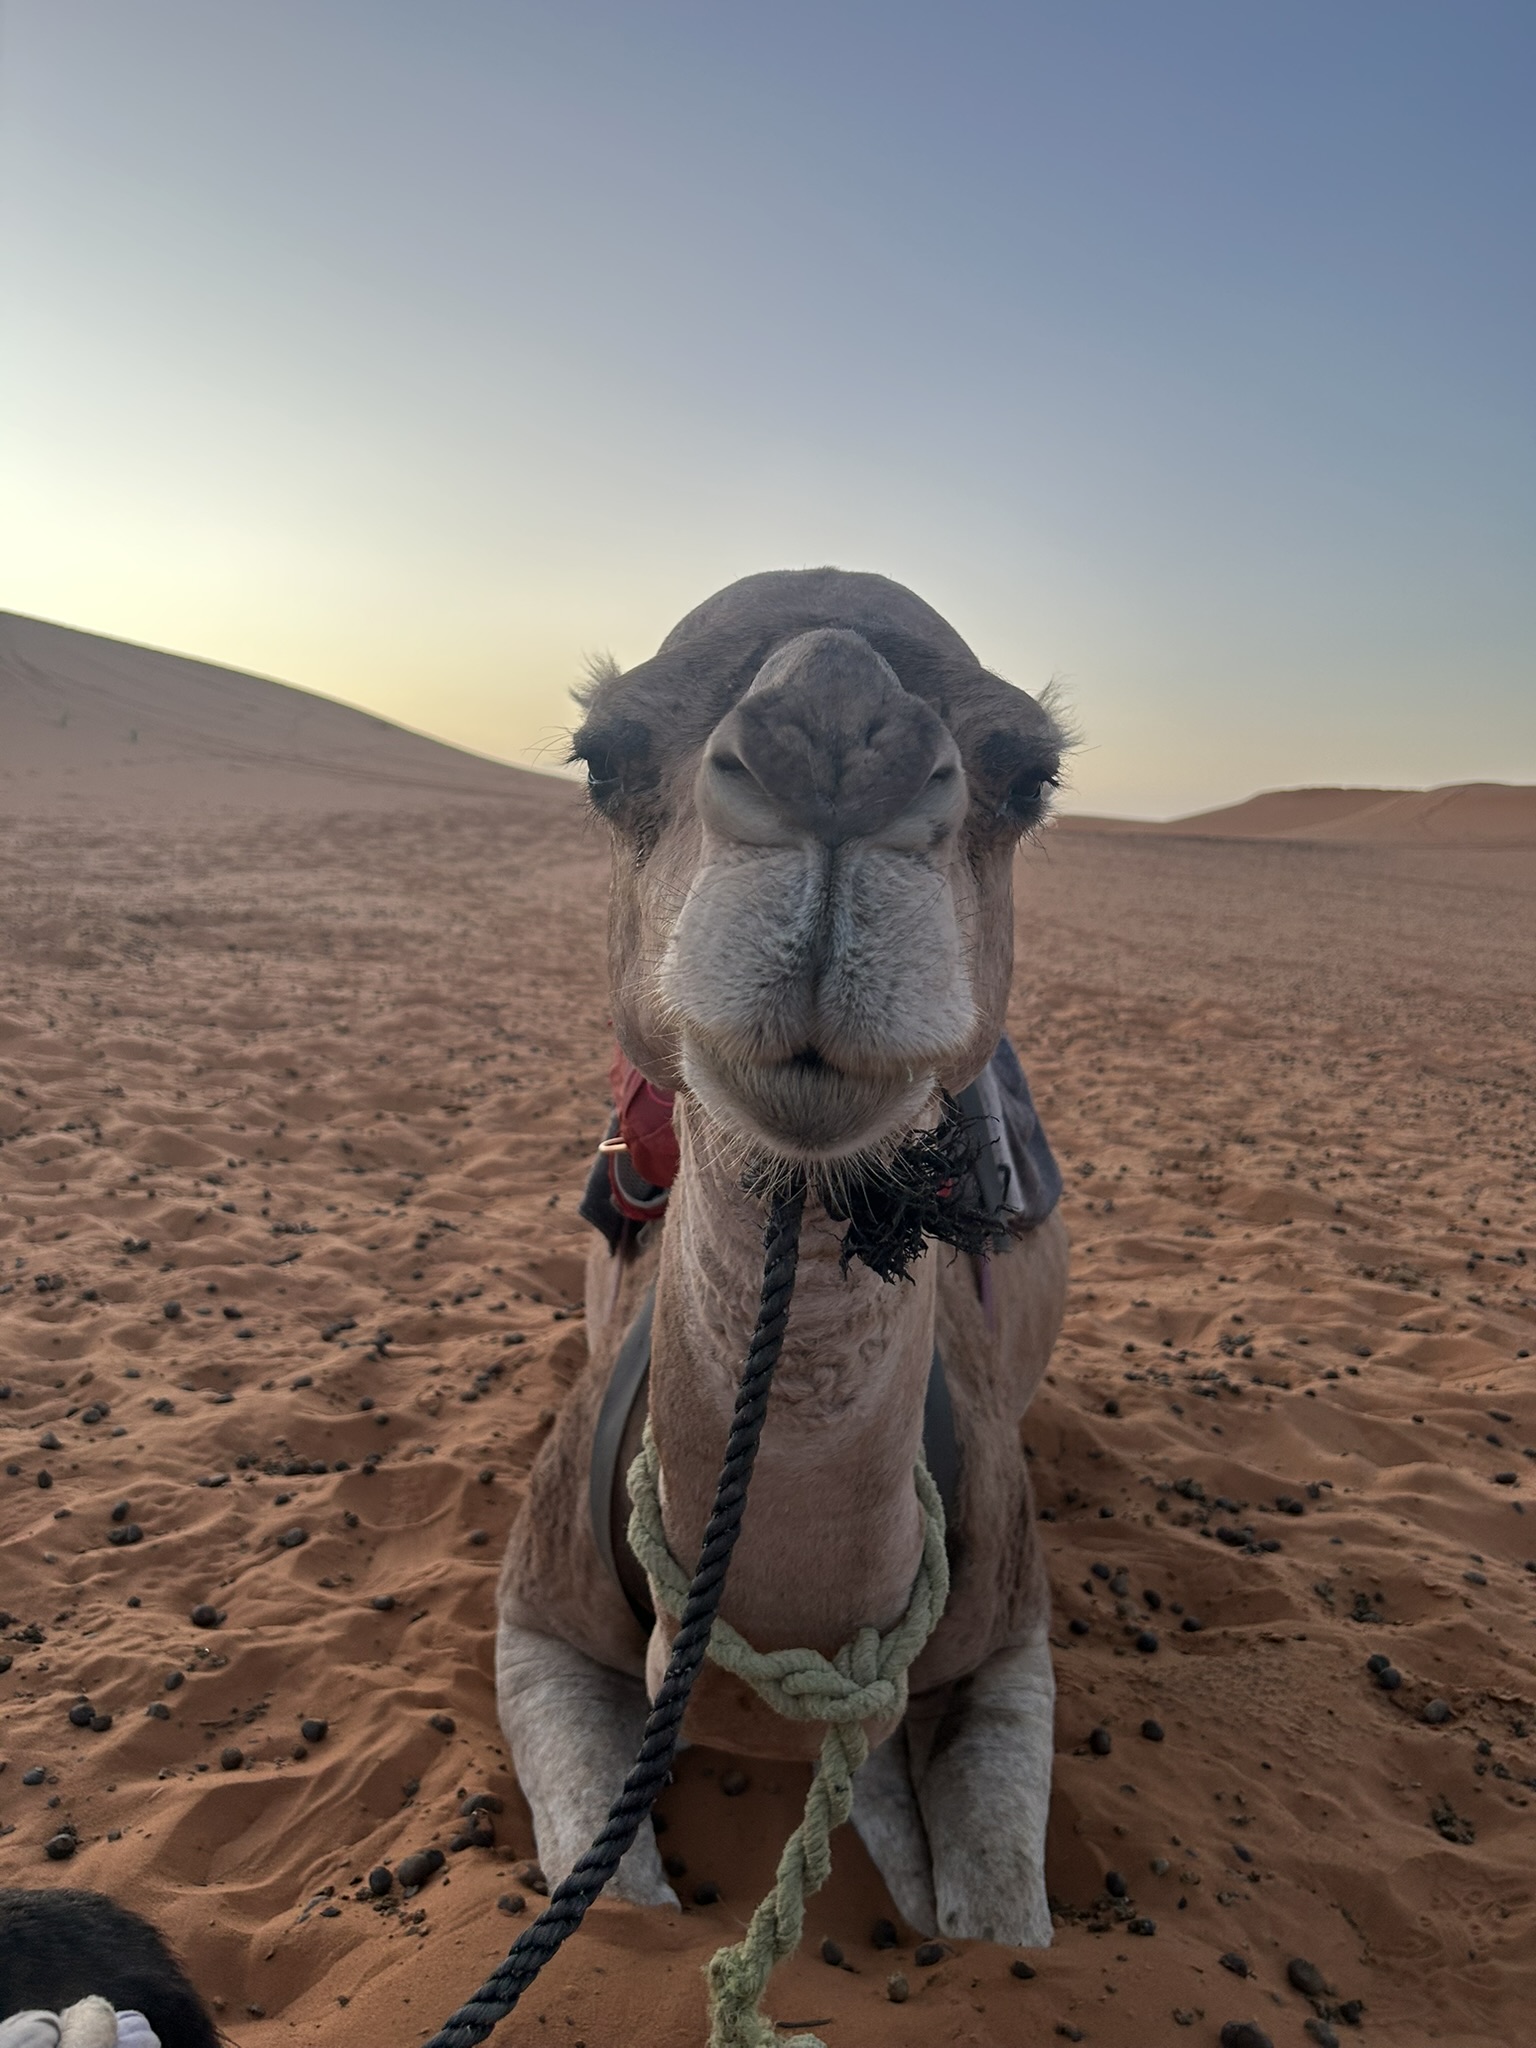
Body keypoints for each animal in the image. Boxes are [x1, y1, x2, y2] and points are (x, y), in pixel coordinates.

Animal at [496, 568, 1069, 1946]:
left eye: (1033, 774)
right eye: (600, 755)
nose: (836, 741)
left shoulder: (1017, 1639)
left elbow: (1002, 1918)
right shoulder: (532, 1624)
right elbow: (613, 1896)